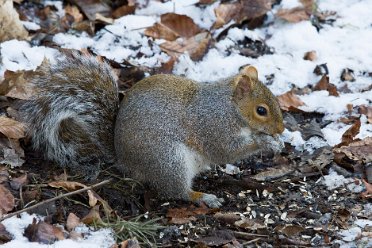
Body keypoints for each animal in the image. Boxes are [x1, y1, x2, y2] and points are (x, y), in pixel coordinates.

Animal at [21, 54, 284, 207]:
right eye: (261, 110)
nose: (281, 128)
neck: (229, 108)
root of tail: (125, 160)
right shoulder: (212, 126)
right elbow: (226, 151)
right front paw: (266, 141)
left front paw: (277, 141)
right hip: (169, 160)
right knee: (175, 192)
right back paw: (203, 197)